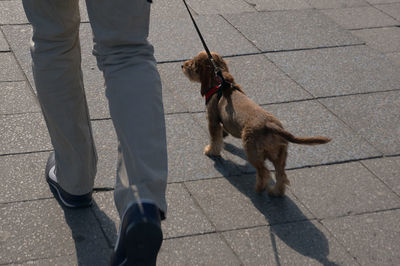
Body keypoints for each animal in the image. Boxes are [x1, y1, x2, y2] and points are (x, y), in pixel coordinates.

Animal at [182, 52, 332, 196]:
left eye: (193, 64)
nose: (182, 65)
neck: (219, 82)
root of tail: (270, 126)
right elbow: (222, 132)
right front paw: (223, 136)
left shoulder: (212, 120)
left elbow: (214, 139)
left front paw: (210, 151)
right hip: (280, 155)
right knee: (281, 175)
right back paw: (275, 192)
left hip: (252, 150)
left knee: (264, 172)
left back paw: (259, 188)